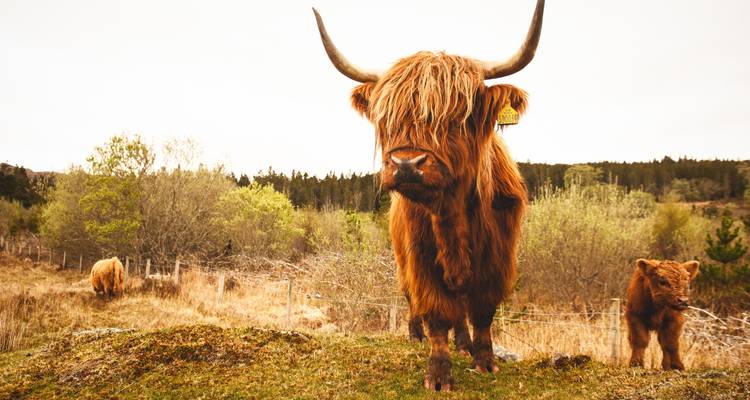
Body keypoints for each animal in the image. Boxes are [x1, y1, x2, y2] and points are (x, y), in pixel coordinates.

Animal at [313, 0, 544, 391]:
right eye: (387, 119)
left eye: (455, 117)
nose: (406, 164)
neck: (454, 217)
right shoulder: (420, 258)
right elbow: (436, 312)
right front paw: (438, 374)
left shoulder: (497, 257)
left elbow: (483, 311)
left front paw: (485, 361)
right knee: (414, 299)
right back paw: (415, 335)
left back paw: (465, 344)